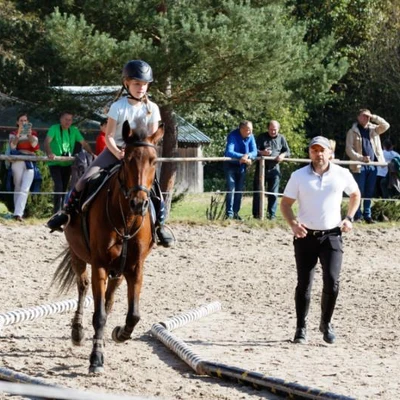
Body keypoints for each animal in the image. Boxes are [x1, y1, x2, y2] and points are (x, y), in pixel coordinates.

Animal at [52, 120, 163, 374]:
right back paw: (77, 331)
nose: (139, 203)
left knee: (110, 298)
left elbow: (133, 315)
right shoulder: (99, 265)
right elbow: (99, 315)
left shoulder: (135, 268)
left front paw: (120, 333)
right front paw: (96, 358)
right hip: (78, 255)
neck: (126, 218)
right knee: (82, 287)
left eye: (153, 160)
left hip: (118, 270)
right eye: (128, 159)